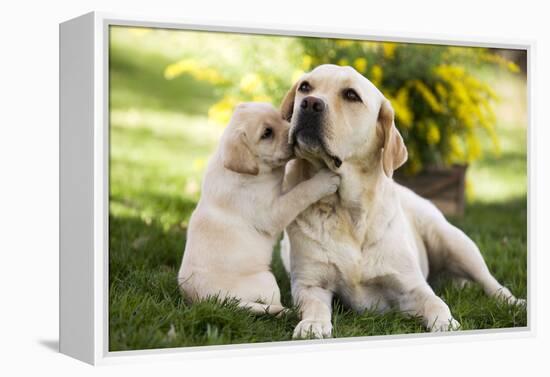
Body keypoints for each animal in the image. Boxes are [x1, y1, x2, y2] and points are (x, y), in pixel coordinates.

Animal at [179, 102, 340, 314]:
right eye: (267, 133)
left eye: (281, 117)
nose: (294, 133)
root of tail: (204, 300)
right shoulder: (272, 213)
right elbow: (299, 193)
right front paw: (324, 180)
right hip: (267, 280)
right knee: (273, 302)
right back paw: (287, 311)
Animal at [280, 63, 528, 336]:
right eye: (305, 87)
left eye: (351, 95)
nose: (310, 103)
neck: (346, 210)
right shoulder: (310, 284)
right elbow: (314, 305)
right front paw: (312, 324)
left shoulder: (411, 288)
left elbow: (436, 303)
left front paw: (446, 323)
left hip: (455, 241)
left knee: (491, 283)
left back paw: (515, 302)